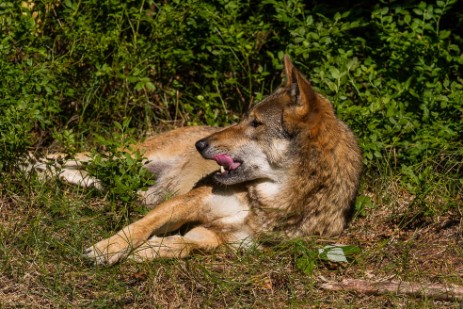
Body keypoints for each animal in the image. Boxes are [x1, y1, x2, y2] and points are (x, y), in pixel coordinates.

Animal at [49, 55, 366, 262]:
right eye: (244, 117)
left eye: (255, 123)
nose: (200, 145)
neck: (268, 205)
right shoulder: (190, 200)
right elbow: (140, 227)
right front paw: (107, 249)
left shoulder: (218, 239)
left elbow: (178, 246)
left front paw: (141, 252)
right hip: (129, 157)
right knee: (63, 156)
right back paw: (39, 169)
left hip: (134, 181)